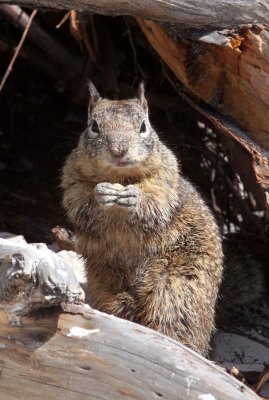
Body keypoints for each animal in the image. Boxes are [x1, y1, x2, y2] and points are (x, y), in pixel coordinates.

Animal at [61, 83, 264, 354]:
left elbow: (156, 201)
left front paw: (135, 197)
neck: (120, 176)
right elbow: (79, 200)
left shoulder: (166, 179)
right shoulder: (72, 179)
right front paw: (100, 193)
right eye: (94, 125)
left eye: (143, 125)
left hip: (176, 288)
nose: (118, 151)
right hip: (106, 284)